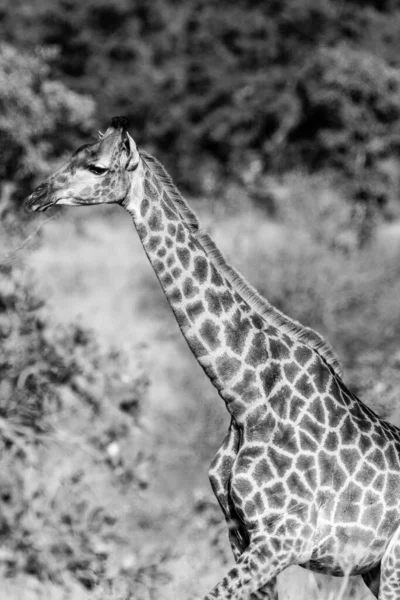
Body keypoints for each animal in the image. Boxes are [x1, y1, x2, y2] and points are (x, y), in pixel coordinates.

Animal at [25, 115, 400, 596]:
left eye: (96, 167)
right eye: (74, 155)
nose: (37, 195)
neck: (245, 399)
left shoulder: (285, 538)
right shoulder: (241, 536)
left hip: (392, 563)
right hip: (374, 568)